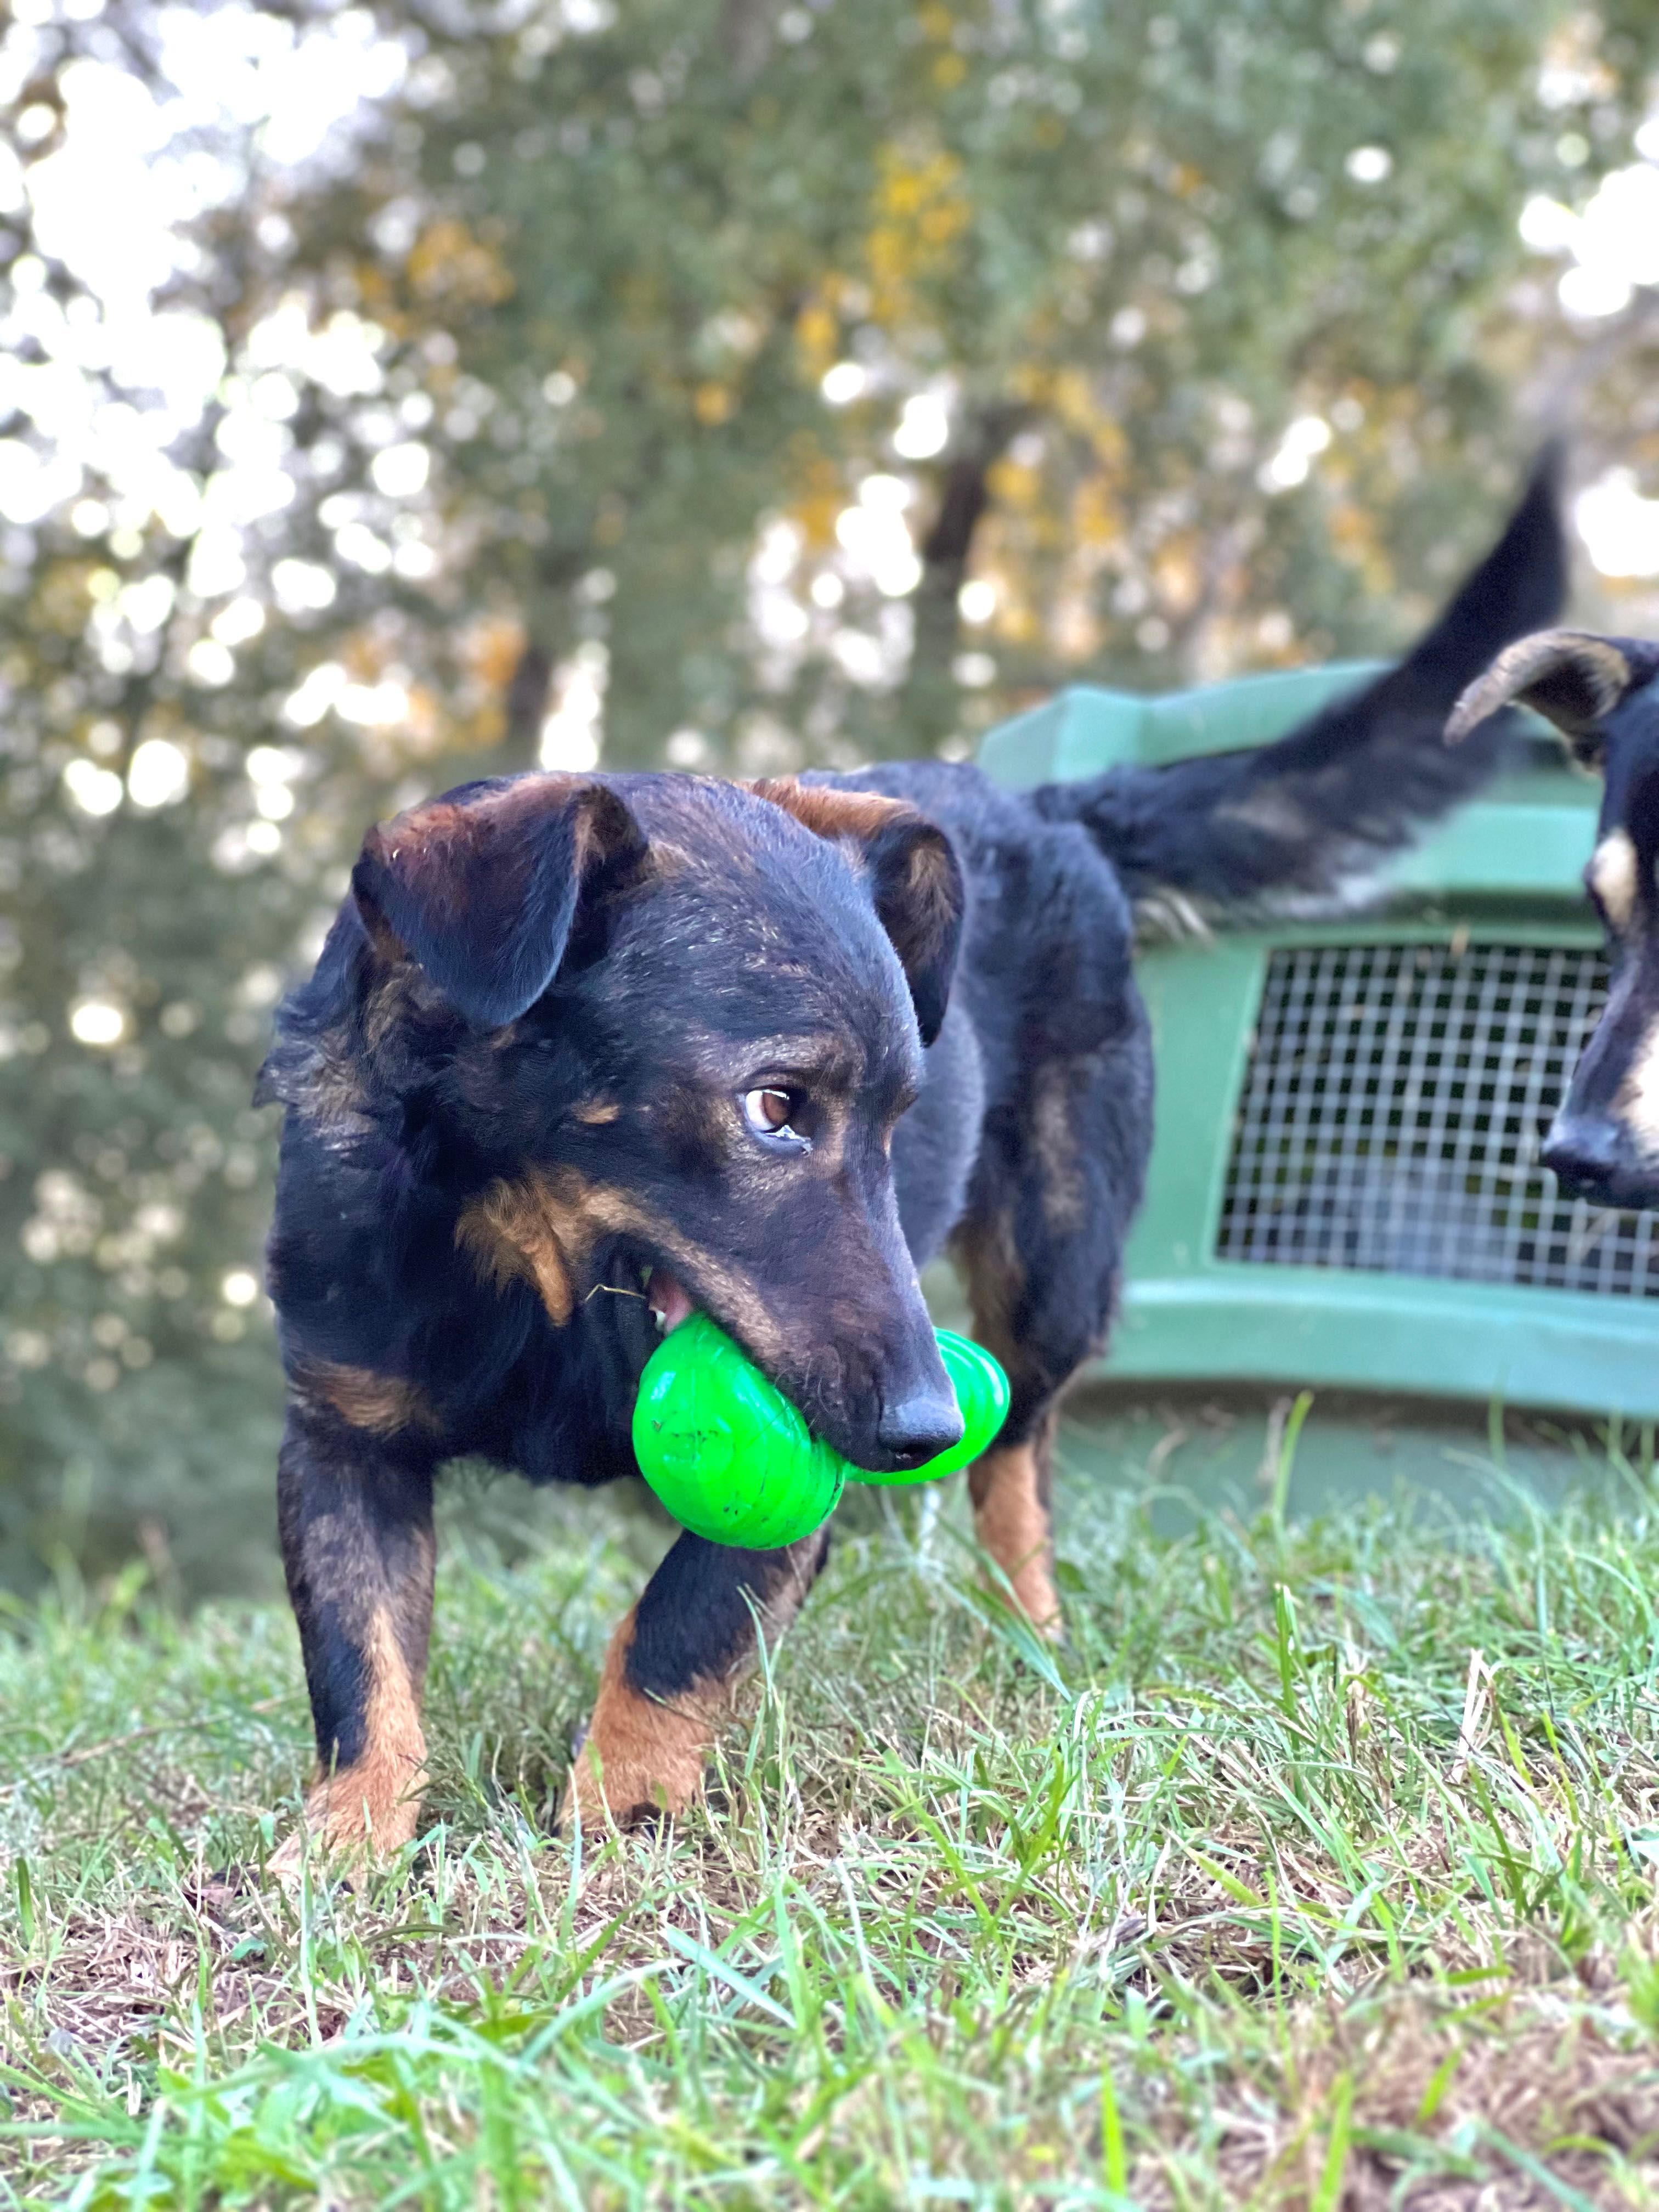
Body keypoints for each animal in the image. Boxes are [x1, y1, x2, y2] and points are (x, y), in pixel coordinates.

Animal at [259, 471, 1575, 1867]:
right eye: (774, 1109)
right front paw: (344, 1845)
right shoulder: (339, 1437)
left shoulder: (808, 1465)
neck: (535, 1268)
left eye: (903, 1117)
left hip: (1056, 1268)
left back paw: (1030, 1629)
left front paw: (621, 1816)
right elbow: (363, 1665)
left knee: (1024, 1465)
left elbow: (681, 1624)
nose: (921, 1428)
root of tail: (1048, 811)